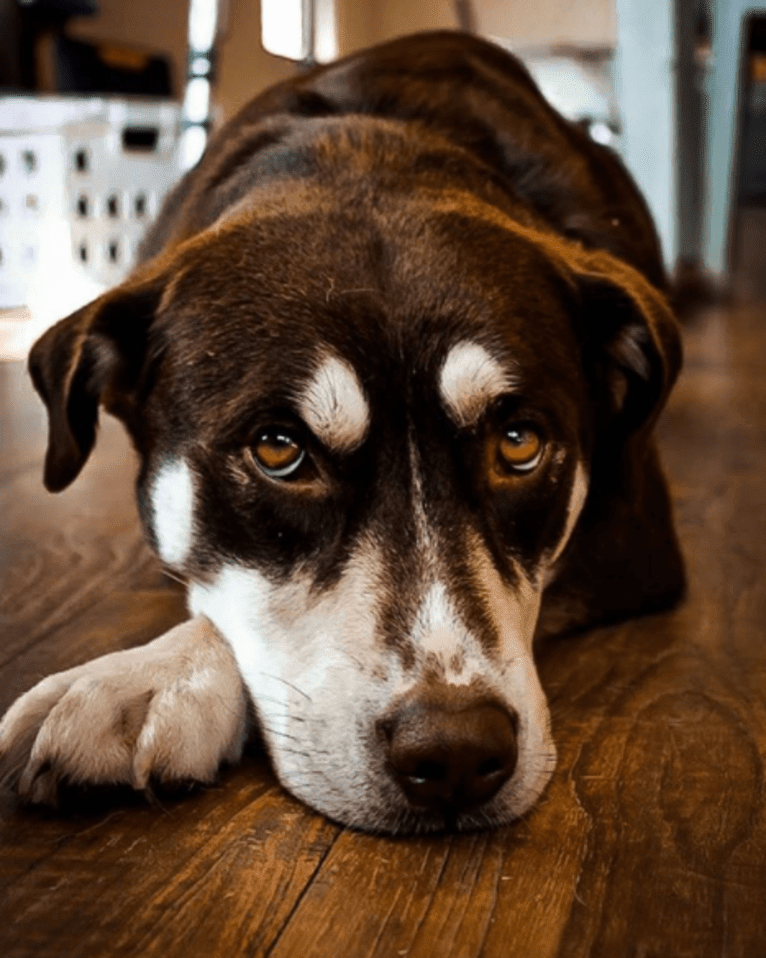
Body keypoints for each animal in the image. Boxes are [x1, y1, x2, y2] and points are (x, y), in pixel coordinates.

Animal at [0, 33, 688, 836]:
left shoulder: (631, 543)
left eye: (518, 443)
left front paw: (144, 680)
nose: (455, 752)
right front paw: (141, 675)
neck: (368, 143)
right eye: (278, 450)